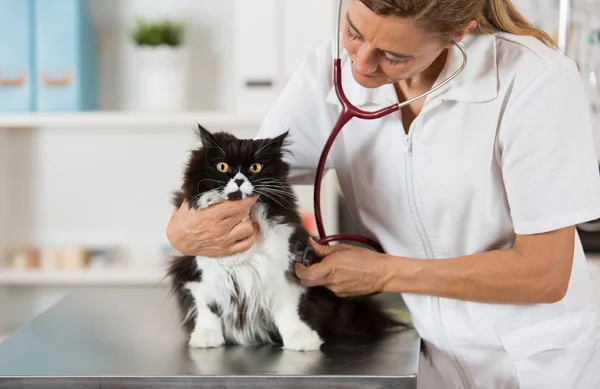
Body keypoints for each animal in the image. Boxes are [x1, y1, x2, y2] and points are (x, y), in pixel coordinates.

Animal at [166, 125, 406, 352]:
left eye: (255, 168)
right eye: (222, 167)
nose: (239, 180)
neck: (249, 216)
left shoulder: (284, 269)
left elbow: (287, 309)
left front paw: (301, 338)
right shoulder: (195, 270)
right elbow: (206, 306)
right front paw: (206, 336)